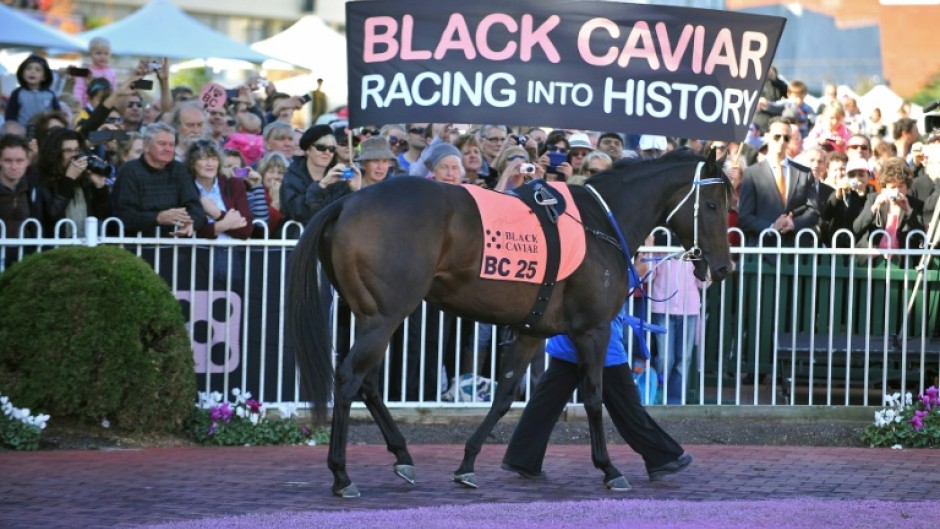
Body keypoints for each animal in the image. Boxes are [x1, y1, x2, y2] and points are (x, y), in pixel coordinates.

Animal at [286, 147, 736, 496]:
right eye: (714, 206)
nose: (724, 267)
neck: (599, 224)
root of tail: (345, 203)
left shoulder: (532, 330)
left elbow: (504, 396)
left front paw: (468, 465)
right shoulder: (592, 329)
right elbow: (594, 397)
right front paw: (610, 469)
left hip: (363, 315)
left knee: (367, 382)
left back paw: (403, 456)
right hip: (386, 316)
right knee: (349, 378)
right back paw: (342, 475)